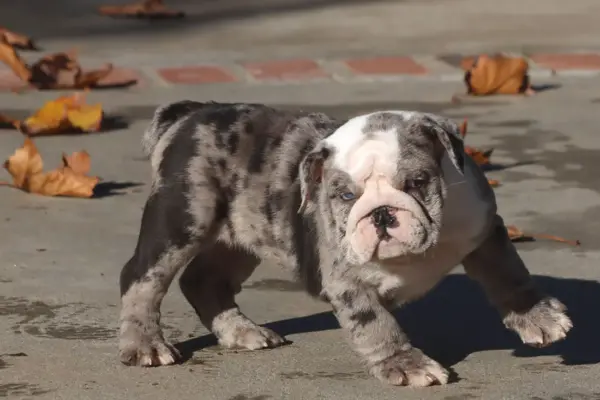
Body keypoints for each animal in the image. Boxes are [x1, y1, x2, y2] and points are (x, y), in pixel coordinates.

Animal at [117, 101, 572, 386]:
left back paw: (242, 331)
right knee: (141, 279)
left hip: (244, 234)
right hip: (182, 219)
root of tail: (191, 113)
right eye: (345, 195)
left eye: (417, 182)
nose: (382, 213)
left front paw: (537, 316)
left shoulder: (483, 228)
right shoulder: (346, 281)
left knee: (204, 281)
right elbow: (376, 324)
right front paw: (404, 363)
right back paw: (145, 344)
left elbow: (507, 272)